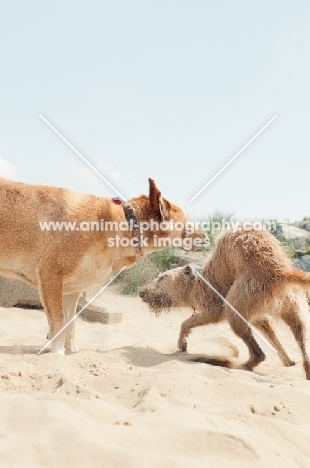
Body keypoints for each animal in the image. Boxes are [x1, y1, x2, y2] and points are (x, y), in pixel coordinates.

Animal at [0, 177, 208, 352]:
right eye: (187, 223)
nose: (206, 237)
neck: (126, 224)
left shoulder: (71, 292)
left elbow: (70, 324)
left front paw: (70, 351)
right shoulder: (50, 276)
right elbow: (59, 323)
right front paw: (57, 354)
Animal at [141, 229, 310, 380]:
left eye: (162, 277)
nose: (141, 293)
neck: (199, 282)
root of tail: (279, 271)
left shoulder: (215, 307)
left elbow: (187, 322)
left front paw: (182, 343)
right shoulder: (256, 313)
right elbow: (268, 325)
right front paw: (287, 360)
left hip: (238, 300)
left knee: (258, 353)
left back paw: (243, 364)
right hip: (289, 304)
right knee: (299, 330)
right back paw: (306, 369)